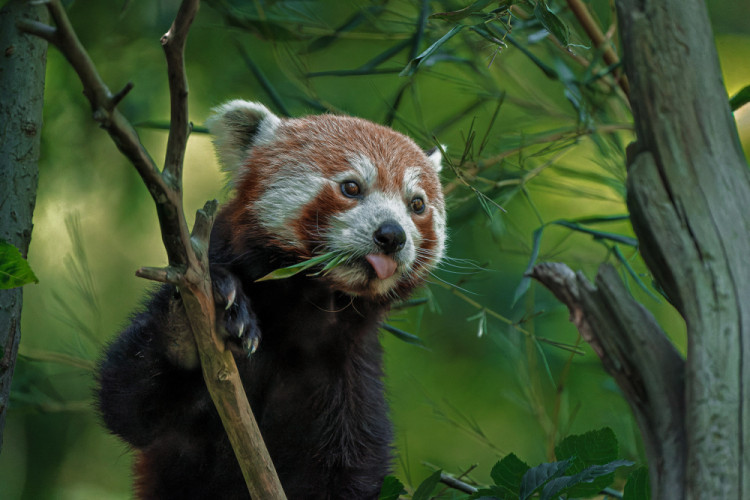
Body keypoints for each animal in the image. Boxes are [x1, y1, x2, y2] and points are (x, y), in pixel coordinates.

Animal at [97, 101, 446, 499]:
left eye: (416, 204)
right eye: (351, 187)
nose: (392, 235)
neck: (304, 315)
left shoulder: (351, 378)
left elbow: (353, 476)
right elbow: (127, 402)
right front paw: (190, 323)